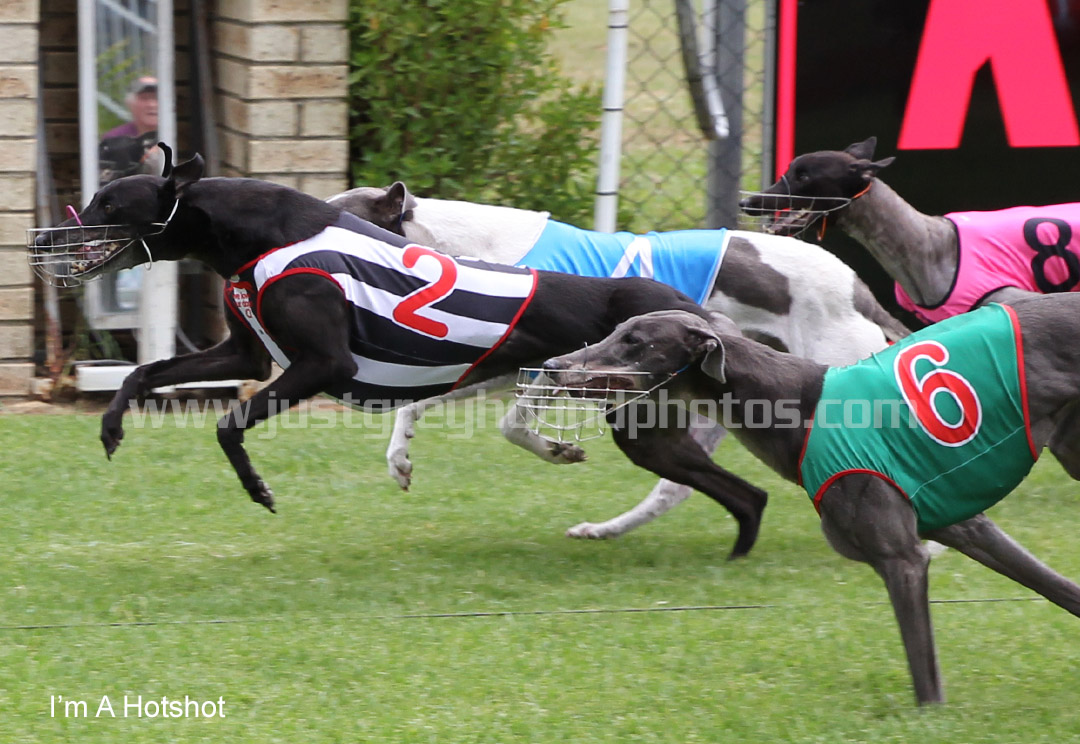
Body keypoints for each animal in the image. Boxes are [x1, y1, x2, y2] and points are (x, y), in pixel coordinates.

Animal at [30, 145, 785, 558]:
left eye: (107, 204)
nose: (40, 239)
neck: (259, 231)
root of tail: (691, 312)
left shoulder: (320, 365)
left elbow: (226, 425)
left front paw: (258, 488)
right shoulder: (245, 358)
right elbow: (144, 371)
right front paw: (111, 427)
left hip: (635, 418)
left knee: (734, 489)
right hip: (649, 426)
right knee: (745, 495)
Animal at [329, 182, 909, 541]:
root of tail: (859, 289)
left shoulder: (545, 369)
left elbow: (511, 426)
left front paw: (558, 450)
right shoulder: (505, 364)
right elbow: (418, 405)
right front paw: (400, 459)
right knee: (675, 487)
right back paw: (605, 529)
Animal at [539, 300, 1080, 705]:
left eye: (635, 341)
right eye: (617, 331)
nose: (551, 367)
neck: (798, 403)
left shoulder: (902, 559)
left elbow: (924, 673)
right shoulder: (967, 529)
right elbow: (1059, 588)